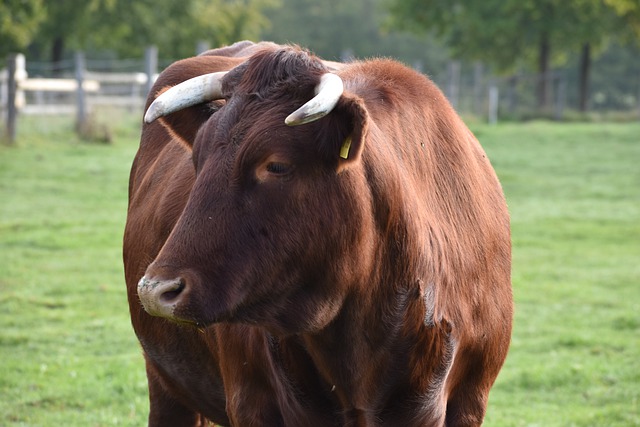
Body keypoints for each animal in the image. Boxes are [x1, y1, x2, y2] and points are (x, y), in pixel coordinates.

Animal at [123, 41, 513, 427]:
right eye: (197, 158)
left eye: (276, 164)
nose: (156, 290)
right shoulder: (252, 402)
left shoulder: (467, 400)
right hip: (166, 384)